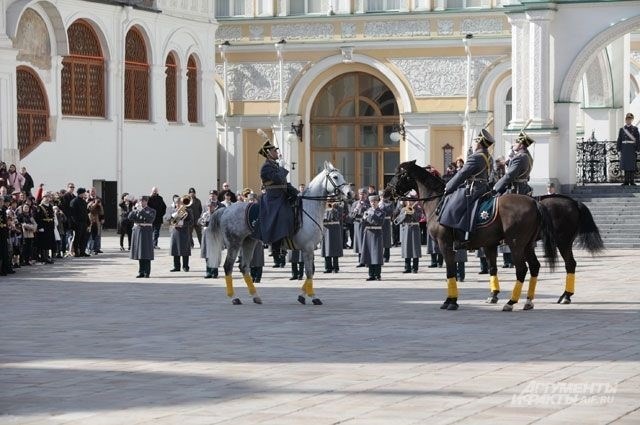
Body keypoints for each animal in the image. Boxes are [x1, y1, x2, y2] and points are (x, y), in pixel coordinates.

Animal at [209, 161, 350, 304]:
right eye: (335, 177)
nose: (349, 193)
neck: (309, 210)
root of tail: (226, 210)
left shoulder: (309, 248)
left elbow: (312, 271)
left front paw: (302, 296)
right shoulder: (308, 248)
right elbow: (310, 272)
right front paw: (313, 297)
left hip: (249, 242)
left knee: (244, 267)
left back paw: (255, 296)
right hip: (234, 243)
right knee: (228, 267)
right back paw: (234, 297)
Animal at [384, 161, 556, 310]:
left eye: (399, 174)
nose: (385, 193)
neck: (438, 202)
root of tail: (534, 202)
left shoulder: (445, 244)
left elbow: (450, 271)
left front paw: (451, 301)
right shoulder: (489, 245)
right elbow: (491, 268)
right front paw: (490, 296)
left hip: (516, 244)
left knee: (521, 269)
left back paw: (511, 302)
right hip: (527, 245)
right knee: (534, 266)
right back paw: (528, 301)